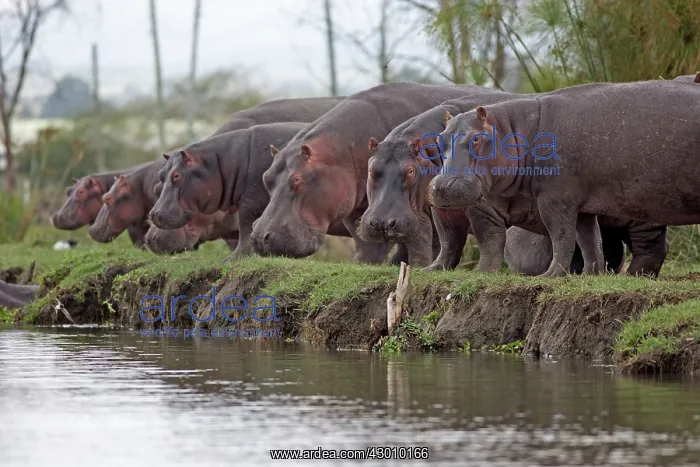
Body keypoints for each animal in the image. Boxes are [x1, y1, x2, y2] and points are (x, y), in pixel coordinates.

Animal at [249, 82, 492, 265]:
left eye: (297, 178)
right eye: (265, 178)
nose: (260, 238)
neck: (340, 151)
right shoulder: (355, 209)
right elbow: (367, 246)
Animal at [429, 80, 694, 277]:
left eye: (476, 139)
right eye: (439, 139)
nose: (441, 186)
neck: (514, 130)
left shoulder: (550, 199)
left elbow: (555, 236)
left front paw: (547, 275)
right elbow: (588, 239)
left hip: (643, 209)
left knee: (650, 246)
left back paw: (633, 276)